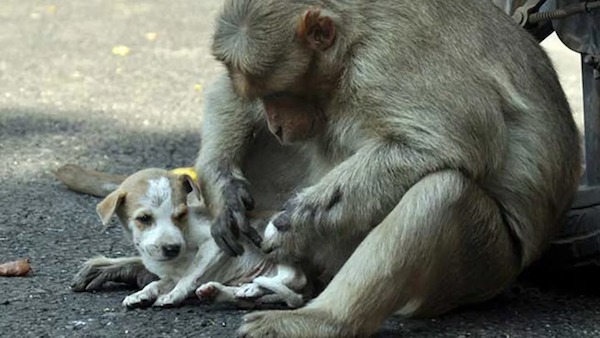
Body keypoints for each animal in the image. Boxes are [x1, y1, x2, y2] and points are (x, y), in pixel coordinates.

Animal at [59, 166, 310, 308]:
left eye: (180, 214)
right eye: (144, 218)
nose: (172, 248)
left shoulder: (214, 244)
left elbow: (190, 275)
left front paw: (173, 296)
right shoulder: (169, 274)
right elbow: (157, 283)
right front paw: (141, 295)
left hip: (271, 236)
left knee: (294, 278)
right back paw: (230, 291)